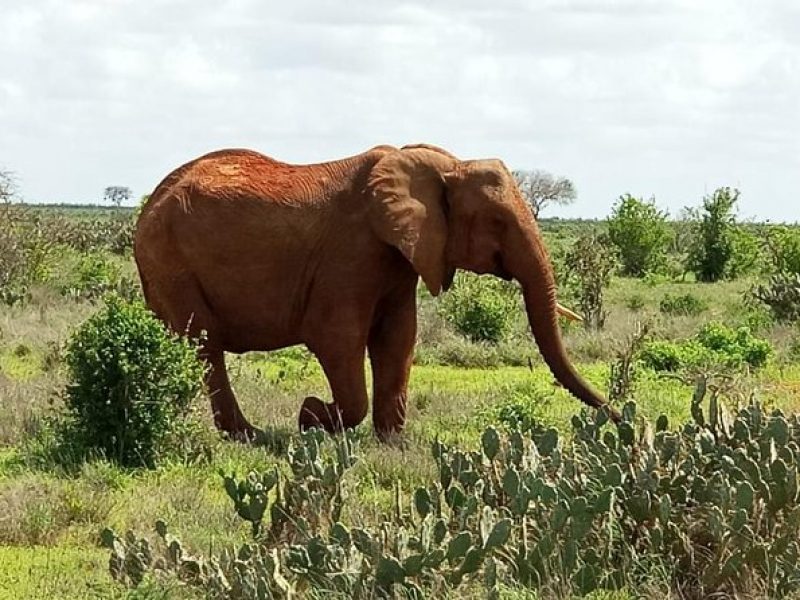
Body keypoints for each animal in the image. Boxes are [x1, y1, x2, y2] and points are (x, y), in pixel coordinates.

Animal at [134, 142, 620, 438]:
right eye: (497, 222)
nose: (622, 417)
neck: (444, 166)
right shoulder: (350, 254)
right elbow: (338, 339)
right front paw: (312, 417)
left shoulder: (401, 257)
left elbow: (398, 339)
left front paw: (392, 443)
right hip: (170, 261)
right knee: (204, 345)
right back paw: (249, 436)